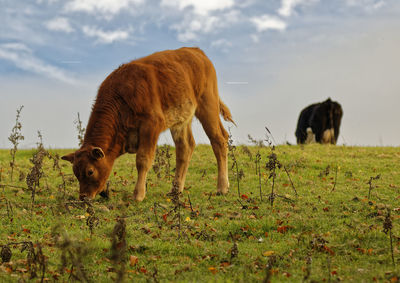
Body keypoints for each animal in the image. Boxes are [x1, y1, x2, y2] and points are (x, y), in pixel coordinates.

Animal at [62, 47, 234, 202]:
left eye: (90, 171)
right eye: (75, 172)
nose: (83, 198)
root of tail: (196, 51)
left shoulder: (151, 124)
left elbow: (143, 160)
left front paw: (138, 195)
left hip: (208, 104)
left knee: (219, 139)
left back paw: (222, 187)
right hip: (181, 118)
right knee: (185, 147)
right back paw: (176, 190)